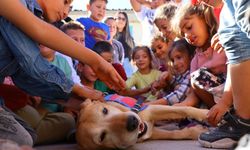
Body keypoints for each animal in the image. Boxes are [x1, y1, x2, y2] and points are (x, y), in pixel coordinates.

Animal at [76, 95, 209, 150]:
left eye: (104, 110)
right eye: (102, 137)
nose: (132, 122)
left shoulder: (150, 109)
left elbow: (184, 109)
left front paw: (206, 113)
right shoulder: (150, 133)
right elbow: (174, 134)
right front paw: (195, 131)